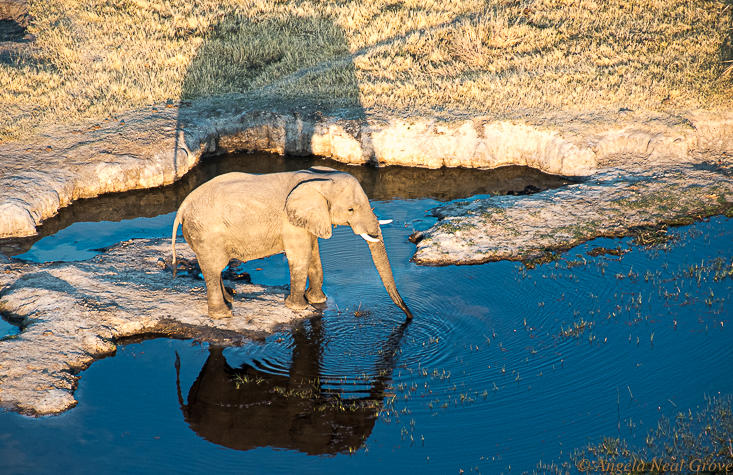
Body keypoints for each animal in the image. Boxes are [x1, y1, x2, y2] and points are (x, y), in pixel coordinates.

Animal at [170, 166, 412, 320]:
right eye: (351, 209)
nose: (409, 317)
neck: (321, 179)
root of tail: (182, 206)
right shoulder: (291, 221)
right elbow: (301, 256)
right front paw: (298, 307)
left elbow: (314, 253)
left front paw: (318, 301)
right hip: (206, 232)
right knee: (213, 267)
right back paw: (223, 314)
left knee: (214, 268)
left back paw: (230, 300)